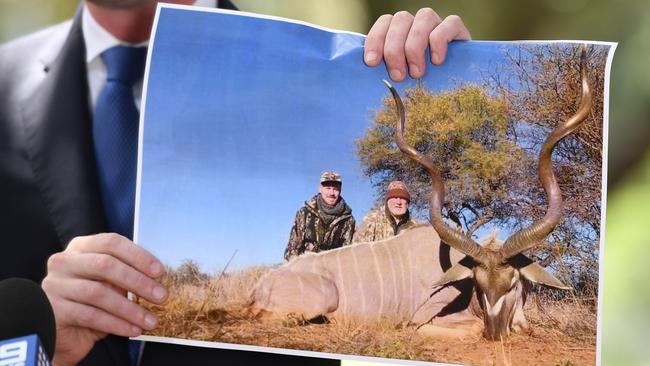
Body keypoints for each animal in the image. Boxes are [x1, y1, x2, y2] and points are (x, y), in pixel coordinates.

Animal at [249, 46, 592, 340]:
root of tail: (261, 285)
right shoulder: (426, 318)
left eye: (513, 283)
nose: (495, 334)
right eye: (478, 284)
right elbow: (460, 328)